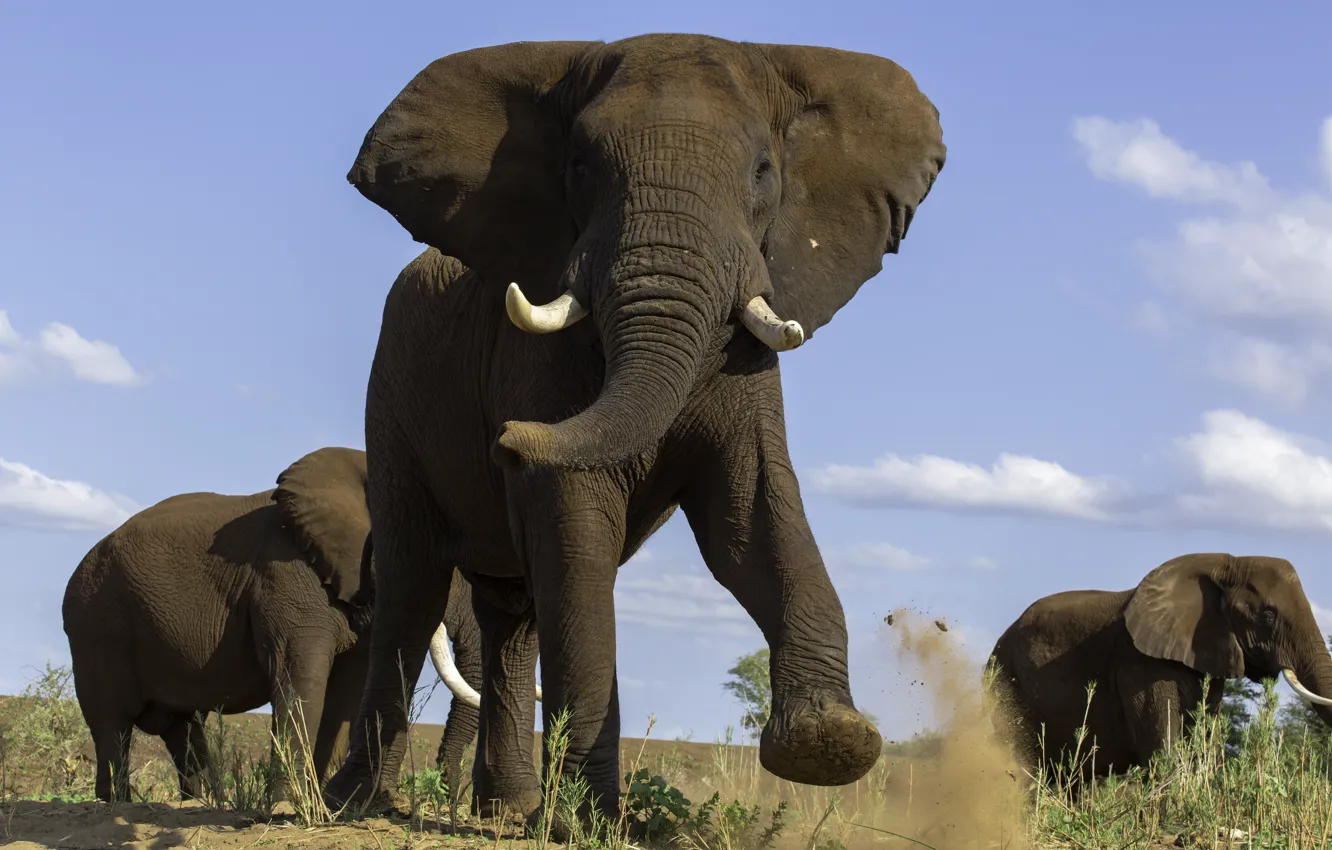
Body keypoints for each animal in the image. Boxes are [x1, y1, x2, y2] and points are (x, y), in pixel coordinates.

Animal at [61, 445, 535, 803]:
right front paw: (290, 804)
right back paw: (116, 802)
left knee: (183, 728)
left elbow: (346, 692)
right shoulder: (286, 577)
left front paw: (321, 800)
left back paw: (199, 803)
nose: (450, 794)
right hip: (94, 624)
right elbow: (302, 680)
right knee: (112, 723)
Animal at [324, 32, 947, 829]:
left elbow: (749, 518)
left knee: (512, 615)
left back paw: (506, 812)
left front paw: (829, 744)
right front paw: (586, 821)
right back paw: (354, 804)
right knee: (413, 584)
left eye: (764, 170)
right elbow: (576, 511)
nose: (508, 440)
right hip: (394, 391)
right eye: (581, 168)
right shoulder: (535, 358)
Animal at [987, 553, 1332, 782]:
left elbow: (1203, 737)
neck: (1223, 564)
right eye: (1268, 616)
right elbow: (1163, 746)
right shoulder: (1139, 665)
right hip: (1004, 682)